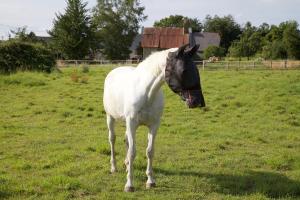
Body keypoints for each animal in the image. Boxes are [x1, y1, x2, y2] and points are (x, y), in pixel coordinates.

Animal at [103, 44, 206, 192]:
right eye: (184, 70)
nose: (198, 102)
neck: (146, 93)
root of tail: (114, 71)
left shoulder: (154, 125)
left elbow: (150, 151)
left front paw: (150, 181)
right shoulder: (132, 123)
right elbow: (133, 152)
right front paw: (129, 184)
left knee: (127, 140)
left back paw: (126, 164)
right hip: (110, 117)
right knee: (112, 139)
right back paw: (114, 167)